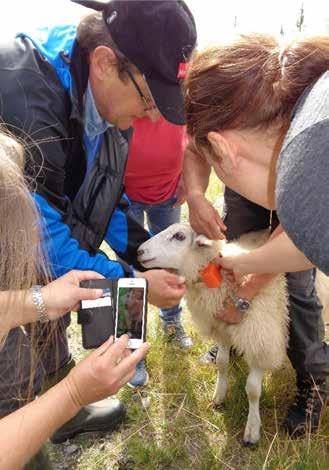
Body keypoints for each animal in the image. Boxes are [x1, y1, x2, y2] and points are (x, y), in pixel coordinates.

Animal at [137, 223, 326, 444]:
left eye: (179, 236)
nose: (139, 251)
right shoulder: (222, 329)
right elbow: (221, 363)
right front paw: (219, 395)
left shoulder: (260, 339)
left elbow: (252, 390)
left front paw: (252, 429)